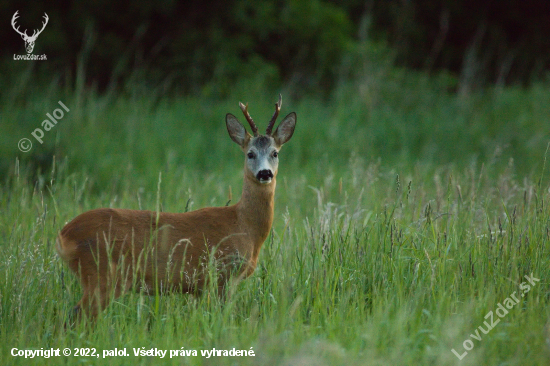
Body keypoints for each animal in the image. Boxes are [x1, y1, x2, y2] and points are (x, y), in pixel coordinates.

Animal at [56, 96, 298, 322]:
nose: (265, 173)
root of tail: (63, 234)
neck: (244, 225)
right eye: (250, 153)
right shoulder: (222, 275)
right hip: (102, 275)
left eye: (275, 153)